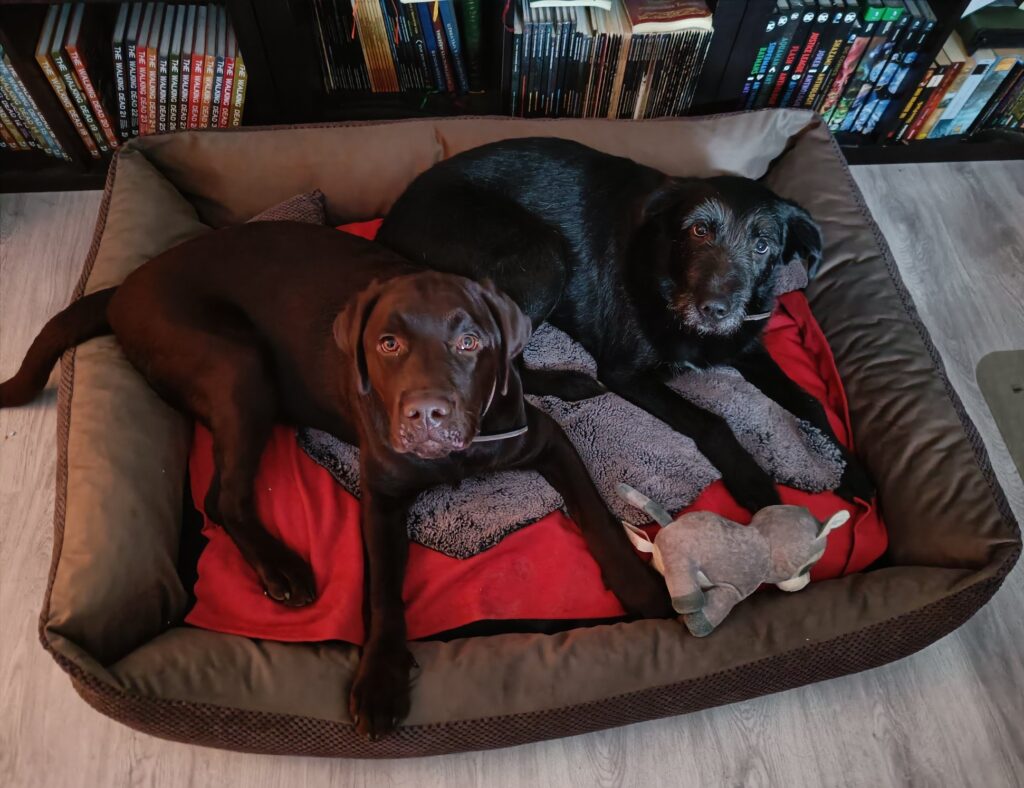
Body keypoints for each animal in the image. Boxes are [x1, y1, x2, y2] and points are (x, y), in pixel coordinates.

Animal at [0, 221, 671, 739]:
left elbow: (596, 512)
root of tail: (124, 287)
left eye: (470, 341)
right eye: (388, 343)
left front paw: (640, 586)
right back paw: (281, 568)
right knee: (222, 495)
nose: (427, 414)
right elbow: (383, 593)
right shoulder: (382, 499)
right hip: (236, 363)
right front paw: (379, 679)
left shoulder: (546, 440)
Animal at [377, 137, 874, 512]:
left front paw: (854, 471)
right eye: (698, 230)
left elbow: (810, 402)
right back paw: (571, 383)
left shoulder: (745, 347)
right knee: (503, 365)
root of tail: (390, 221)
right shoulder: (625, 372)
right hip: (541, 257)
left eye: (763, 245)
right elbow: (711, 420)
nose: (715, 309)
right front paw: (753, 482)